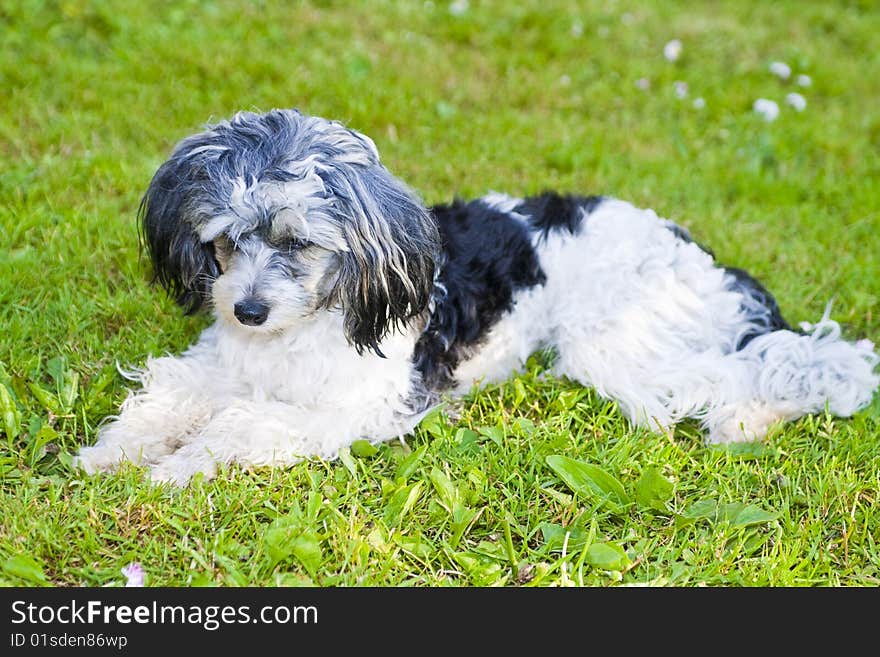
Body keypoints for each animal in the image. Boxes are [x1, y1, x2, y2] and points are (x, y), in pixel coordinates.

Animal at [70, 107, 880, 484]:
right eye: (225, 239)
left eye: (298, 243)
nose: (246, 310)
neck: (301, 326)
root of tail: (691, 248)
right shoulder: (218, 363)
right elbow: (167, 395)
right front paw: (115, 454)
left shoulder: (355, 406)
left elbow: (241, 424)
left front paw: (177, 468)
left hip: (615, 340)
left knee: (745, 373)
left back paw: (750, 418)